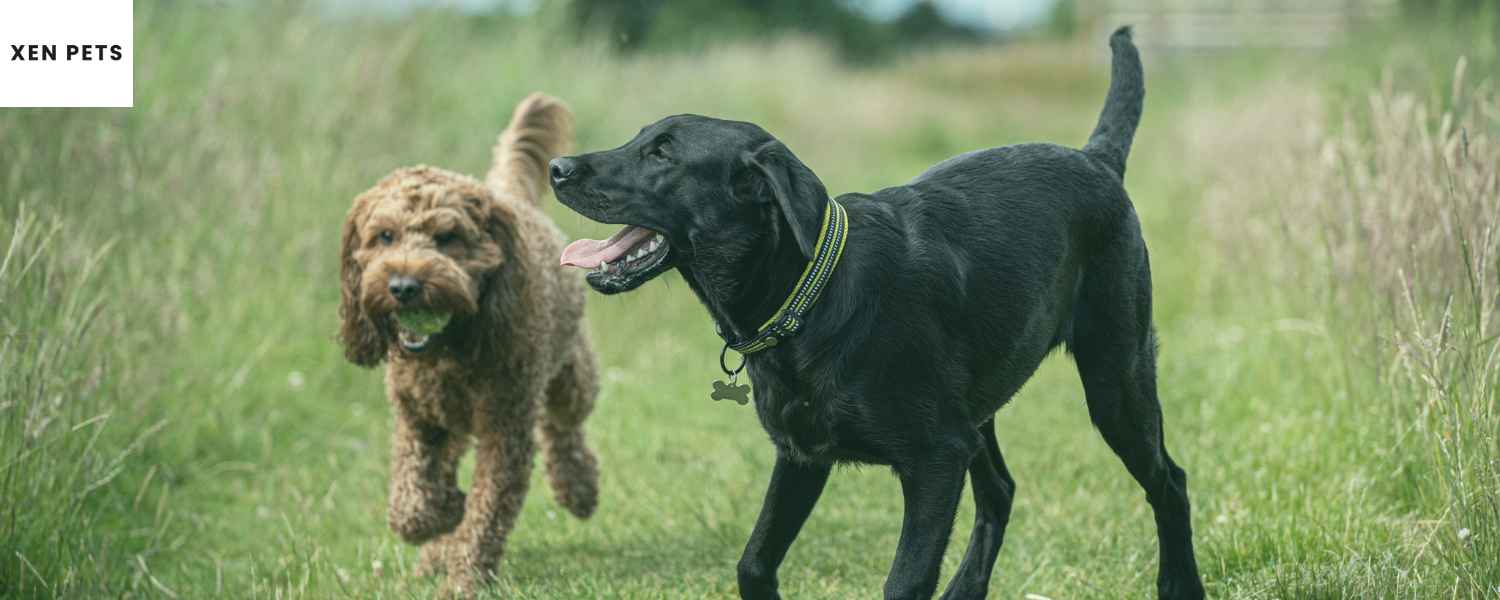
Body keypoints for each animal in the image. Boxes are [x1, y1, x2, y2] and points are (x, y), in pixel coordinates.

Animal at [337, 93, 600, 594]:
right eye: (384, 236)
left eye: (448, 237)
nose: (404, 286)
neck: (448, 352)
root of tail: (506, 193)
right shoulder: (416, 418)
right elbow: (409, 506)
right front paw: (442, 518)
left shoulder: (506, 430)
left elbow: (486, 513)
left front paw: (464, 579)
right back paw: (435, 551)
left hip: (571, 375)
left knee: (563, 426)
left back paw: (577, 488)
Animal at [549, 28, 1194, 600]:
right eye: (639, 138)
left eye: (662, 154)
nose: (557, 167)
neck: (810, 298)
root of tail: (1098, 159)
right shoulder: (803, 456)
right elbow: (753, 564)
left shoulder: (935, 460)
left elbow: (904, 580)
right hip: (981, 409)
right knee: (1002, 491)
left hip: (1116, 380)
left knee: (1170, 481)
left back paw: (1180, 585)